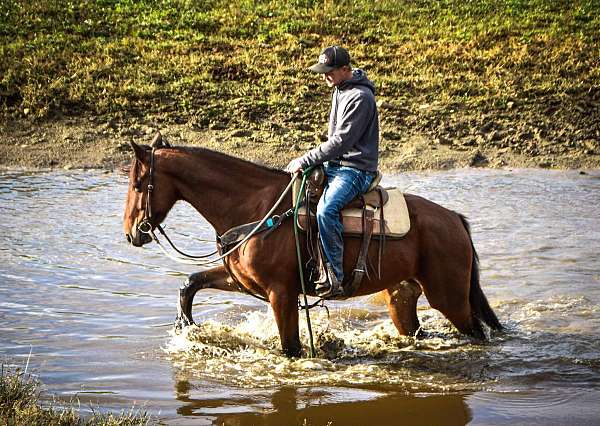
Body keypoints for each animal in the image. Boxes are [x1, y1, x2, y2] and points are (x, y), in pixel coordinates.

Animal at [122, 136, 502, 356]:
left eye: (139, 184)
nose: (130, 233)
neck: (256, 208)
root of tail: (454, 219)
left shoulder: (281, 292)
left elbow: (289, 348)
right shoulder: (244, 281)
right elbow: (191, 283)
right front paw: (186, 327)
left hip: (449, 296)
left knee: (476, 332)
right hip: (402, 297)